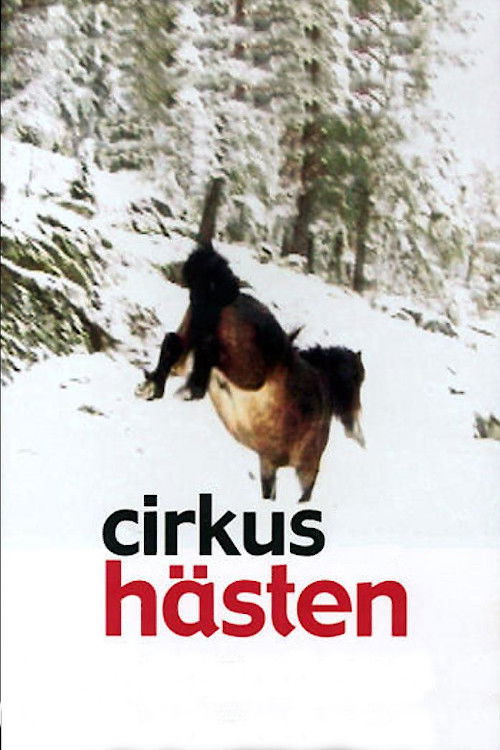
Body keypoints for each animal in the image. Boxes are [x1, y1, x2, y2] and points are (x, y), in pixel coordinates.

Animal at [136, 243, 365, 503]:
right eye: (358, 380)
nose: (355, 424)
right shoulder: (306, 468)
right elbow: (302, 496)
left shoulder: (267, 462)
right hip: (246, 372)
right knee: (207, 353)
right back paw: (190, 389)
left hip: (187, 344)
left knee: (172, 345)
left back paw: (155, 388)